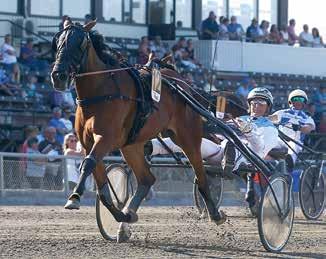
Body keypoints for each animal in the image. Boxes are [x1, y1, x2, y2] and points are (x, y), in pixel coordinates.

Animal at [51, 19, 227, 240]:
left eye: (81, 43)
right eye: (58, 41)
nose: (58, 75)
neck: (100, 91)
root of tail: (179, 82)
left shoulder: (105, 138)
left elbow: (89, 163)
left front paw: (74, 196)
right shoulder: (87, 142)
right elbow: (101, 185)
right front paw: (122, 214)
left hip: (188, 136)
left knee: (201, 173)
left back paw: (214, 213)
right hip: (131, 146)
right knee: (146, 179)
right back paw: (127, 217)